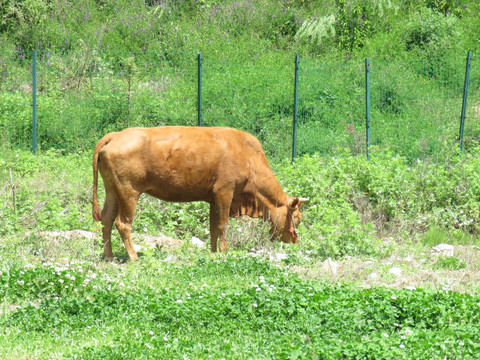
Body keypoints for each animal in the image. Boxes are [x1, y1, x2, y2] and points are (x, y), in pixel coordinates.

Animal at [92, 127, 310, 262]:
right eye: (298, 218)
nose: (295, 242)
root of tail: (116, 135)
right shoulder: (225, 192)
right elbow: (222, 225)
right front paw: (223, 252)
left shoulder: (213, 198)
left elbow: (213, 227)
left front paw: (213, 253)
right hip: (129, 192)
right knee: (123, 223)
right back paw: (134, 257)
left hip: (112, 190)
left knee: (107, 219)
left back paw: (109, 256)